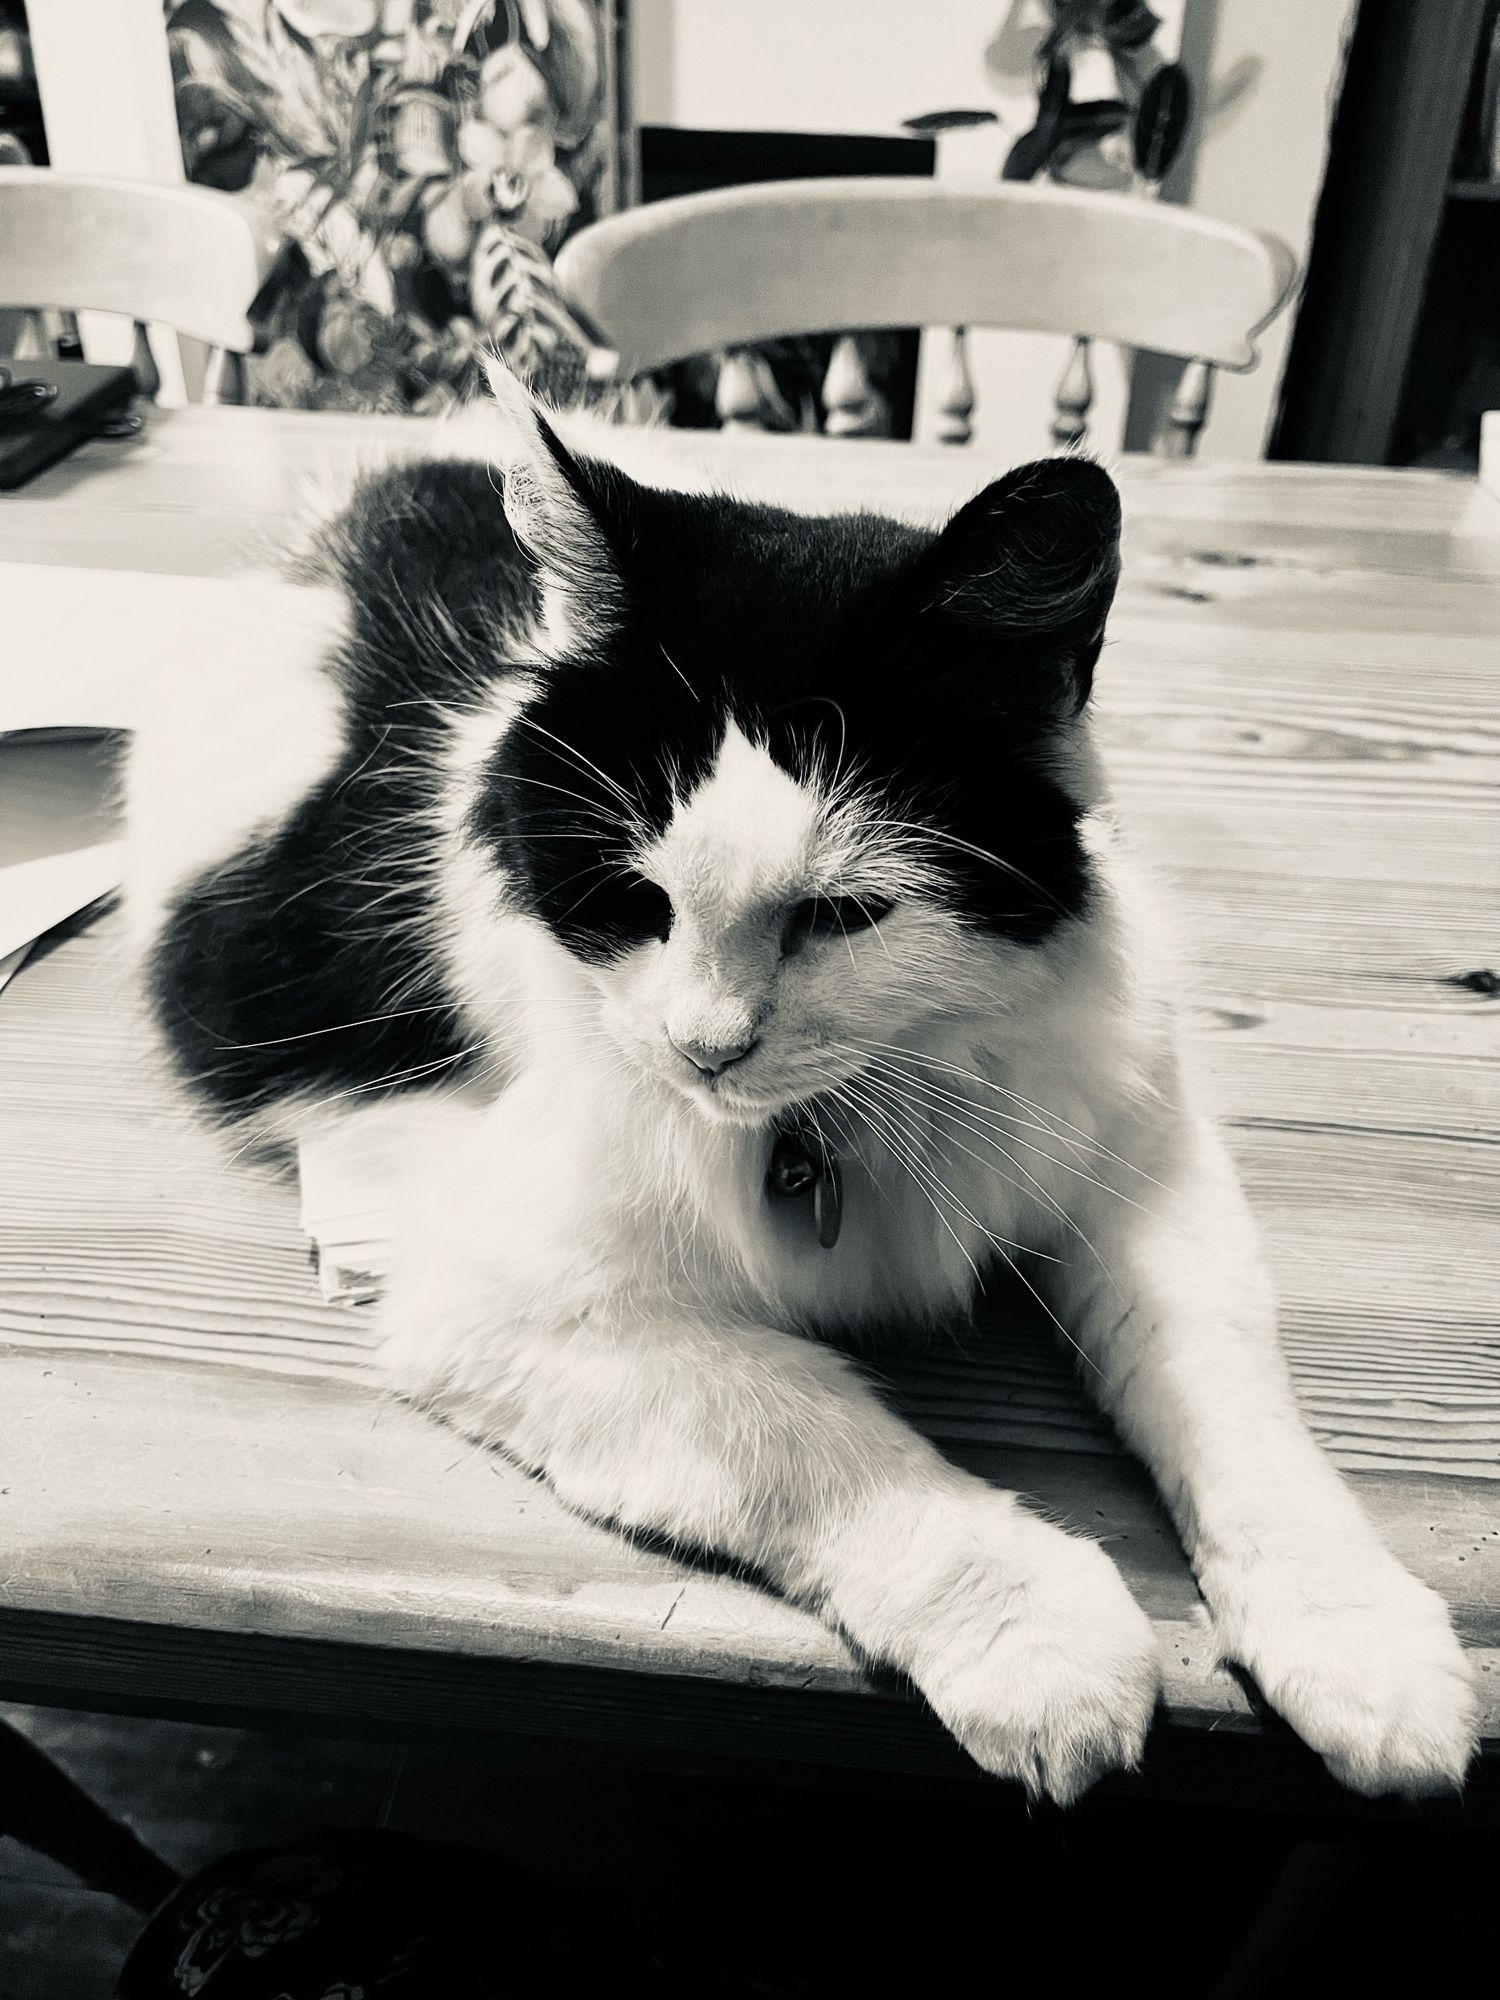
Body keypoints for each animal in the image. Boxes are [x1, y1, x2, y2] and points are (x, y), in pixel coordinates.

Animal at [126, 368, 1480, 1808]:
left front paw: (1360, 1635)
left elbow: (1226, 1388)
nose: (703, 1050)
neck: (870, 1094)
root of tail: (389, 480)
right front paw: (1038, 1634)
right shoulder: (497, 1300)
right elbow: (805, 1426)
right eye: (634, 900)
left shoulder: (1144, 1156)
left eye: (842, 912)